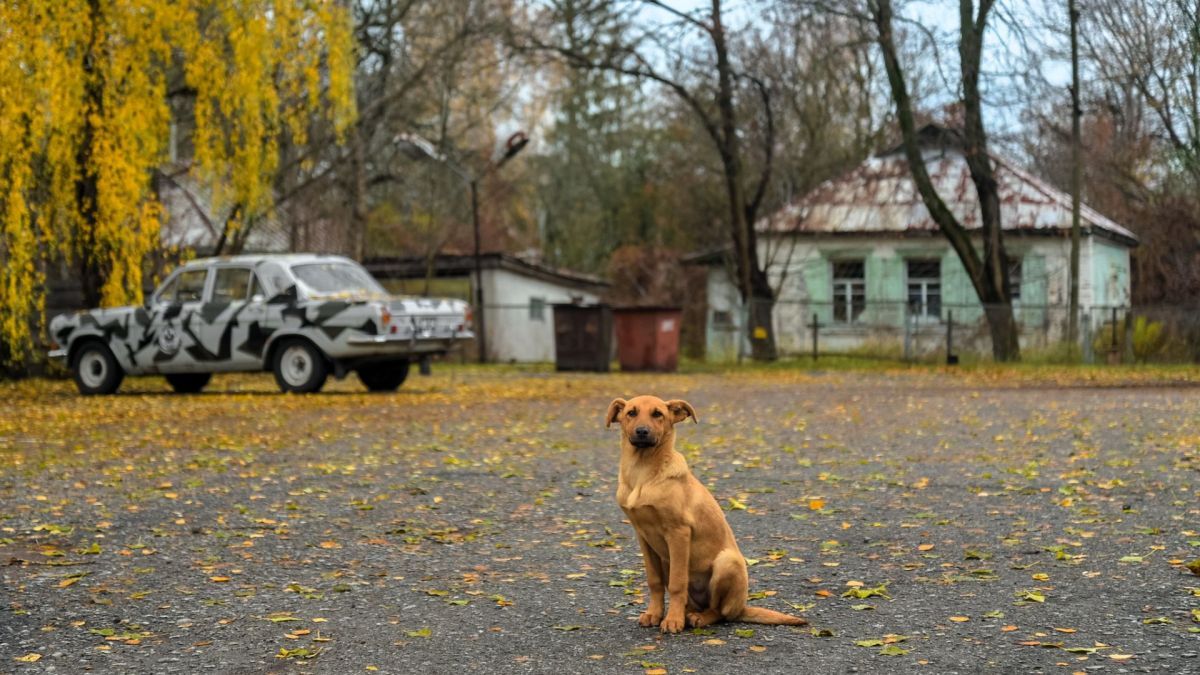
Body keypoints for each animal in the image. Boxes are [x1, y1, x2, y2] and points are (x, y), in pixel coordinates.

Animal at [604, 393, 801, 629]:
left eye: (657, 414)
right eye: (631, 413)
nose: (642, 431)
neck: (643, 472)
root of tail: (742, 607)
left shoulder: (679, 532)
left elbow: (677, 583)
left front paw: (672, 620)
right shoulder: (643, 535)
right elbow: (655, 581)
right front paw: (654, 614)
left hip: (727, 562)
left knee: (719, 612)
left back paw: (696, 618)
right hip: (669, 561)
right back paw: (687, 613)